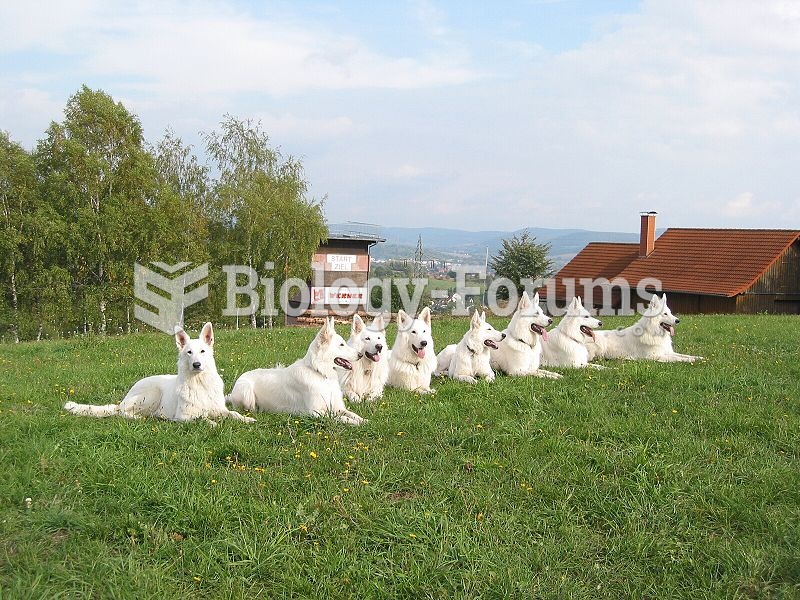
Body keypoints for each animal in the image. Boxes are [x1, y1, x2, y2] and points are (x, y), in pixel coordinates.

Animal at [64, 324, 255, 426]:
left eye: (202, 351)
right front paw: (213, 423)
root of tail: (124, 399)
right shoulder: (183, 417)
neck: (199, 383)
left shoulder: (220, 409)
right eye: (189, 352)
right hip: (151, 395)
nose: (197, 365)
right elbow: (202, 419)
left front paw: (246, 419)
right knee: (122, 413)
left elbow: (233, 413)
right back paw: (142, 417)